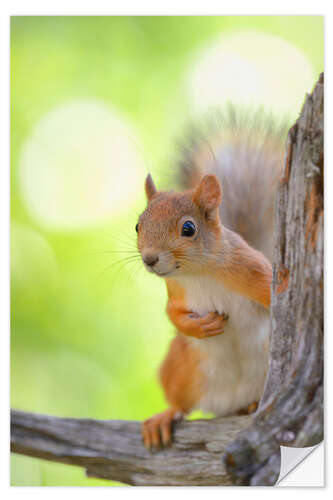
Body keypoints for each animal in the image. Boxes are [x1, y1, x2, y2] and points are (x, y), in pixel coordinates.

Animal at [135, 109, 286, 450]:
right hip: (182, 369)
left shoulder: (252, 270)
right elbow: (173, 314)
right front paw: (200, 326)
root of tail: (228, 402)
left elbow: (275, 293)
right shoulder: (176, 292)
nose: (150, 258)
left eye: (188, 228)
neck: (198, 273)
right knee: (181, 403)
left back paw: (252, 406)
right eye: (138, 225)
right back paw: (164, 418)